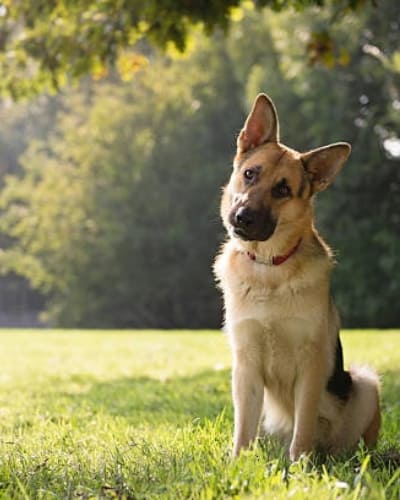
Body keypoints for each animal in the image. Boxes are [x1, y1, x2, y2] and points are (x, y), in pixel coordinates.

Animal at [216, 94, 382, 460]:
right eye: (250, 174)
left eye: (282, 190)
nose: (242, 217)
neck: (269, 268)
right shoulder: (245, 366)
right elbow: (242, 429)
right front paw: (237, 463)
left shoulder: (311, 365)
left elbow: (303, 425)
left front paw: (301, 466)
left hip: (365, 383)